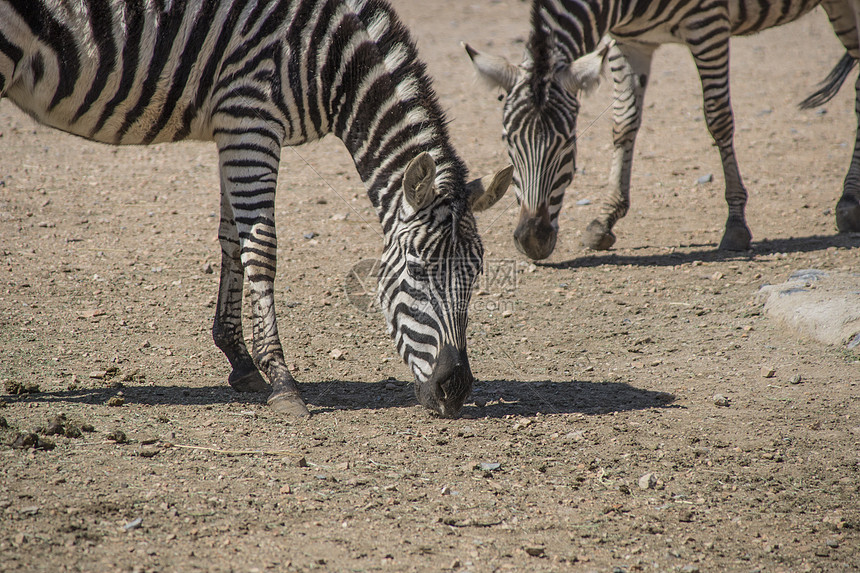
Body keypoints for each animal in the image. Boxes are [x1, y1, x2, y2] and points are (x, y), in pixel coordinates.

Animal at [0, 1, 510, 420]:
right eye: (419, 270)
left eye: (476, 275)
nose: (455, 392)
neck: (329, 58)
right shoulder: (251, 119)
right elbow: (261, 248)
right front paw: (282, 381)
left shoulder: (234, 126)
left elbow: (232, 240)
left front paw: (240, 361)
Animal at [466, 0, 860, 260]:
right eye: (508, 142)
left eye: (567, 145)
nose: (532, 241)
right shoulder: (630, 41)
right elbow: (624, 121)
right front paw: (606, 218)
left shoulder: (708, 23)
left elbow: (718, 117)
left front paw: (735, 224)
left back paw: (849, 202)